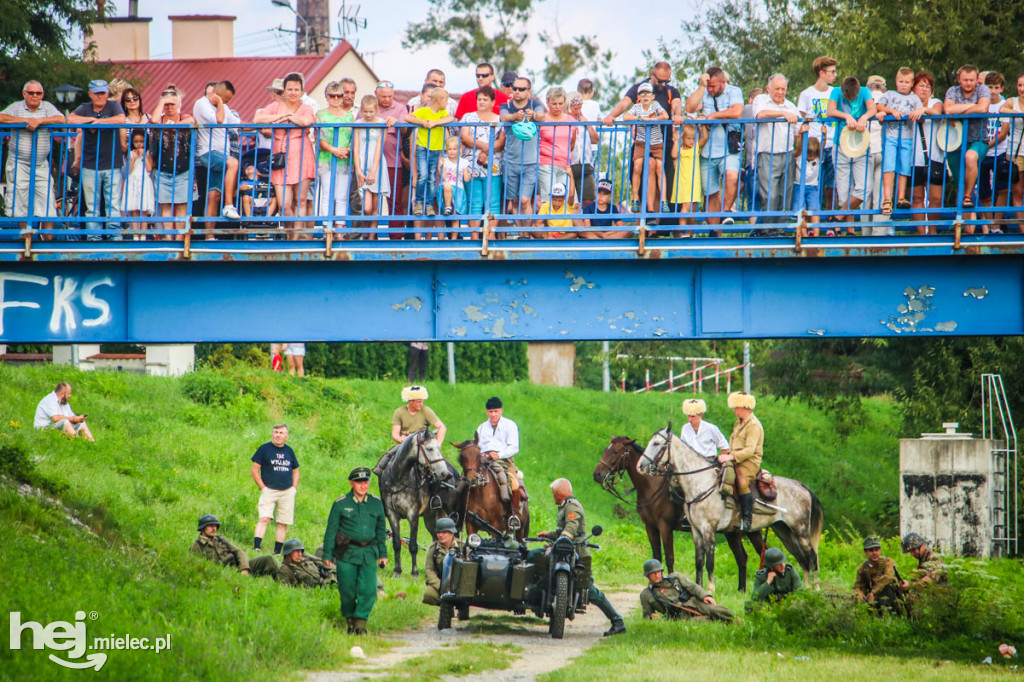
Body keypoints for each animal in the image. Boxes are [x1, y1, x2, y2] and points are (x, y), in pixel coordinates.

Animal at [378, 428, 462, 577]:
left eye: (439, 447)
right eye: (429, 448)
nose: (445, 474)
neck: (398, 480)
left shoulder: (413, 515)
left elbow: (413, 545)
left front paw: (415, 573)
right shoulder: (392, 514)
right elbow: (396, 544)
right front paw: (397, 571)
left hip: (452, 515)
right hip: (431, 519)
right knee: (436, 539)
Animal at [593, 436, 770, 589]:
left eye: (615, 452)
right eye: (605, 450)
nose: (597, 475)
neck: (652, 487)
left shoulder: (665, 527)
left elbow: (669, 557)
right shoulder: (650, 527)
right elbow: (656, 556)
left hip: (752, 531)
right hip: (732, 533)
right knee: (742, 558)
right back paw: (741, 590)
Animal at [638, 425, 823, 589]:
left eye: (656, 443)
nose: (640, 466)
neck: (701, 483)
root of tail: (803, 487)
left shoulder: (708, 530)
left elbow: (710, 562)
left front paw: (711, 589)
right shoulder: (696, 531)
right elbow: (699, 562)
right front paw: (699, 587)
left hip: (800, 531)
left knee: (812, 557)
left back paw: (815, 589)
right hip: (784, 531)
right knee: (801, 558)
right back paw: (804, 588)